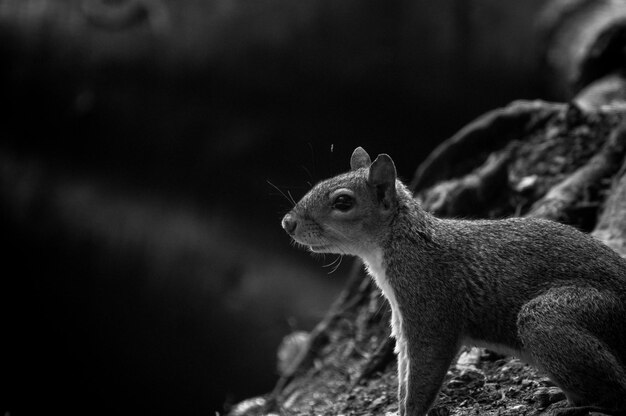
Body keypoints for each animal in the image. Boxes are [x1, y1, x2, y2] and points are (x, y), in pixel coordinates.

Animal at [280, 146, 624, 416]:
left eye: (342, 202)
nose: (287, 223)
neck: (401, 242)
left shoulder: (430, 304)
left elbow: (426, 366)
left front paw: (411, 411)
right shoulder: (402, 321)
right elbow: (403, 371)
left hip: (563, 316)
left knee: (615, 389)